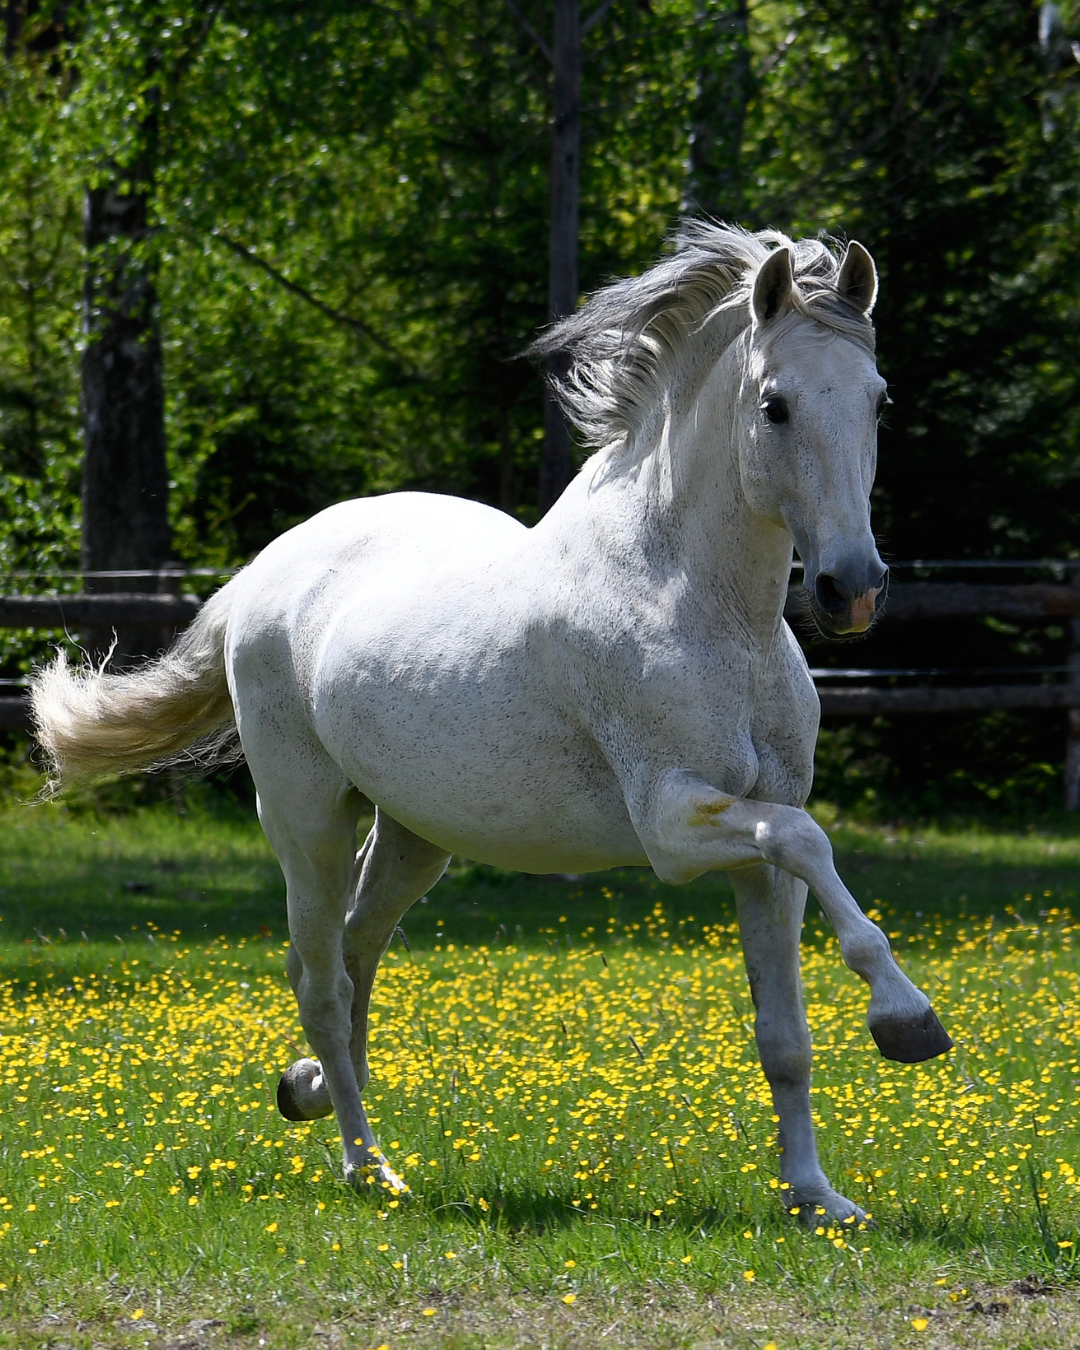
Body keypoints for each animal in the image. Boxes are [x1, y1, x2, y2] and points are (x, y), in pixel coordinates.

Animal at [31, 224, 951, 1224]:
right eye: (775, 405)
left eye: (878, 399)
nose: (852, 588)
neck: (705, 607)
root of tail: (263, 572)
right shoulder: (674, 825)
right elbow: (811, 842)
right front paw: (908, 1021)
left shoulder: (757, 854)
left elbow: (785, 1030)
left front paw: (818, 1199)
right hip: (306, 820)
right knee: (322, 981)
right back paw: (369, 1167)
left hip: (415, 836)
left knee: (354, 959)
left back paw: (308, 1090)